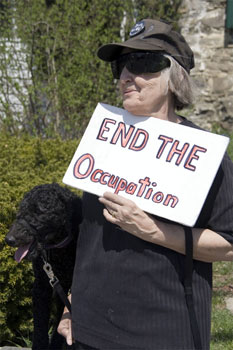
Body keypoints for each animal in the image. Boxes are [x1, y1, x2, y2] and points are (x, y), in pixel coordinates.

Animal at [5, 183, 82, 350]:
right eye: (21, 209)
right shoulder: (41, 287)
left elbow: (61, 320)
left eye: (39, 211)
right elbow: (40, 326)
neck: (57, 250)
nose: (9, 239)